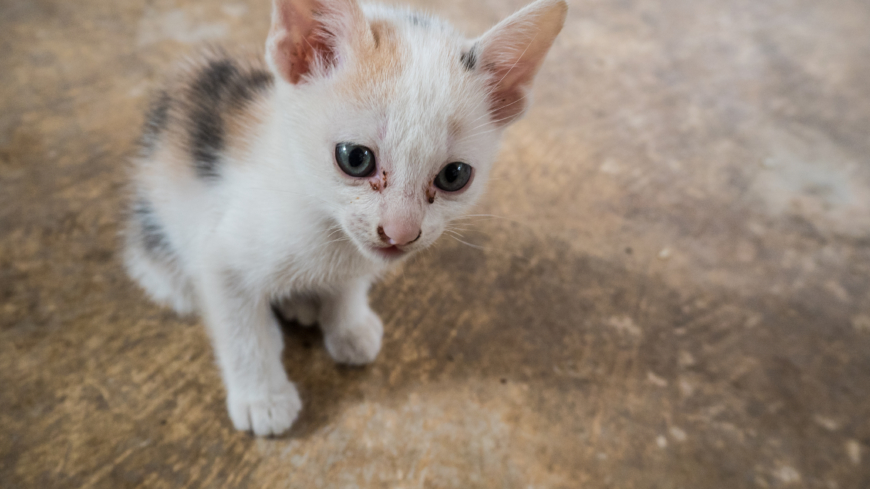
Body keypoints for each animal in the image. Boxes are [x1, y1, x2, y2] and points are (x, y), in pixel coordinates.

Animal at [126, 0, 568, 434]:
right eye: (355, 158)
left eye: (454, 176)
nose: (401, 232)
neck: (322, 220)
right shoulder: (222, 256)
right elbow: (242, 329)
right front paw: (263, 398)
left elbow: (349, 284)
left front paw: (349, 325)